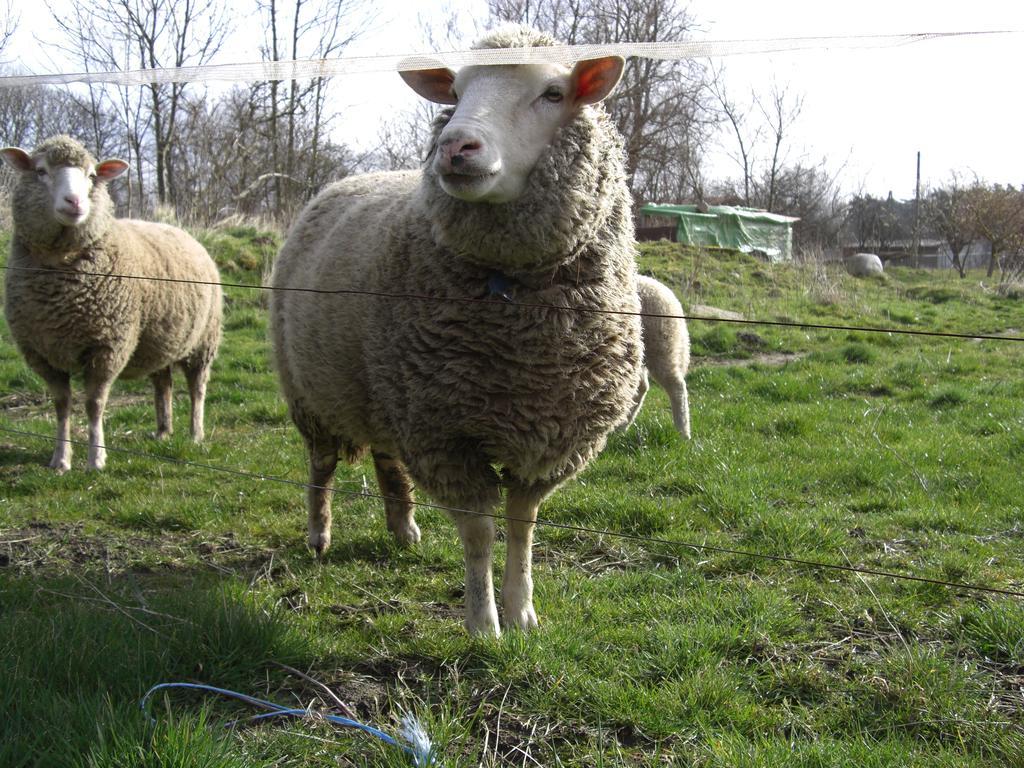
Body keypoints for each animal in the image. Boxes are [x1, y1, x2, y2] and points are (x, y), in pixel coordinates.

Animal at [2, 135, 223, 473]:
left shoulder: (107, 346)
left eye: (92, 175)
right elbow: (62, 405)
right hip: (158, 339)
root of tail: (179, 230)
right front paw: (60, 459)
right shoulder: (42, 354)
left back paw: (195, 433)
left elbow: (94, 404)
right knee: (163, 383)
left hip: (203, 341)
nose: (74, 202)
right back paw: (163, 431)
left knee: (197, 387)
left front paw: (96, 459)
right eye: (40, 171)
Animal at [268, 25, 643, 638]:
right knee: (321, 466)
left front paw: (523, 611)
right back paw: (318, 534)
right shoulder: (445, 436)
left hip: (385, 391)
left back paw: (404, 530)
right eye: (457, 92)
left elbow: (522, 522)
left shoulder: (548, 439)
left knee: (387, 458)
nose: (454, 146)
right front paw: (483, 623)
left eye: (553, 93)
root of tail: (347, 180)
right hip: (313, 392)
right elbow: (480, 531)